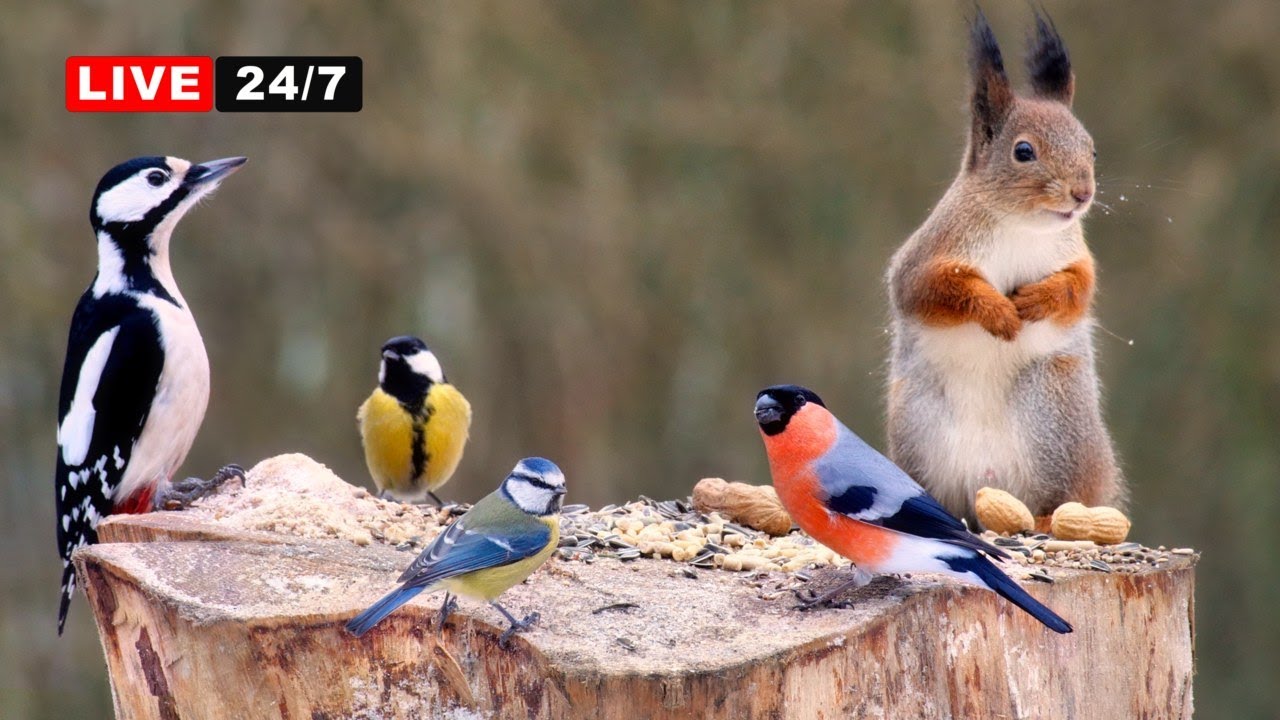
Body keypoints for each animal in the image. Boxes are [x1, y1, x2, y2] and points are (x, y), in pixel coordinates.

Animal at [885, 9, 1124, 525]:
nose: (1082, 194)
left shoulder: (1075, 255)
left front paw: (1038, 299)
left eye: (1092, 149)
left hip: (1057, 412)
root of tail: (988, 484)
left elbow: (1078, 289)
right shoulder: (926, 257)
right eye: (1023, 151)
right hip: (919, 422)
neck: (1021, 225)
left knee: (1061, 500)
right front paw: (995, 311)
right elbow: (934, 288)